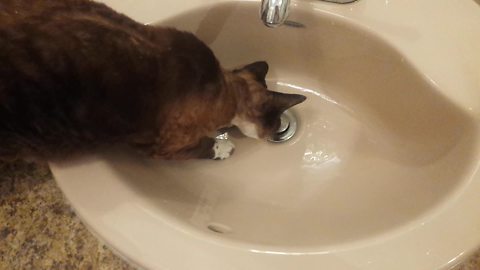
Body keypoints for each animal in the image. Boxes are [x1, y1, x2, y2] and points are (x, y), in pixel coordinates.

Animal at [0, 0, 308, 160]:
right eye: (277, 124)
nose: (277, 134)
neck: (227, 91)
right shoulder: (166, 145)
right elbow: (201, 147)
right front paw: (223, 146)